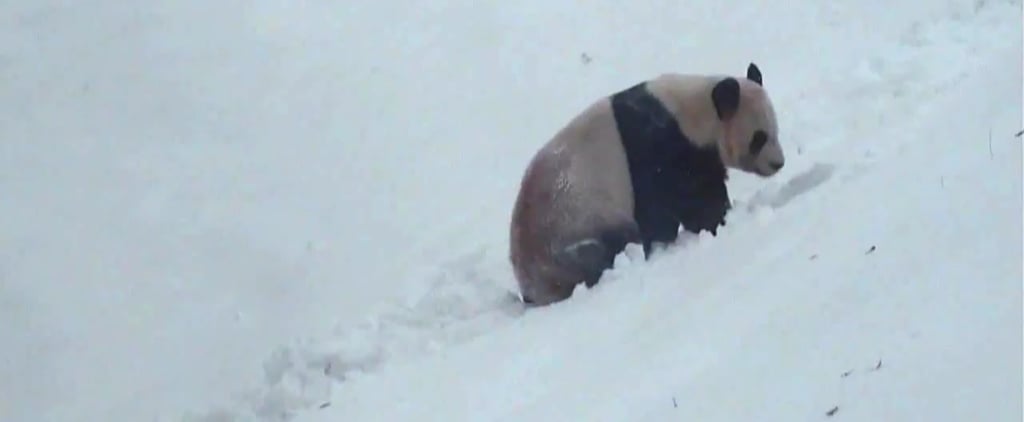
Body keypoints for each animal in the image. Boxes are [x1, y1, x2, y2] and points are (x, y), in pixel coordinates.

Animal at [509, 61, 782, 307]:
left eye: (774, 130)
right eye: (759, 138)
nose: (778, 163)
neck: (695, 110)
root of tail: (531, 287)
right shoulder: (658, 150)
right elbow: (686, 201)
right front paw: (715, 223)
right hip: (572, 229)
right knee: (602, 248)